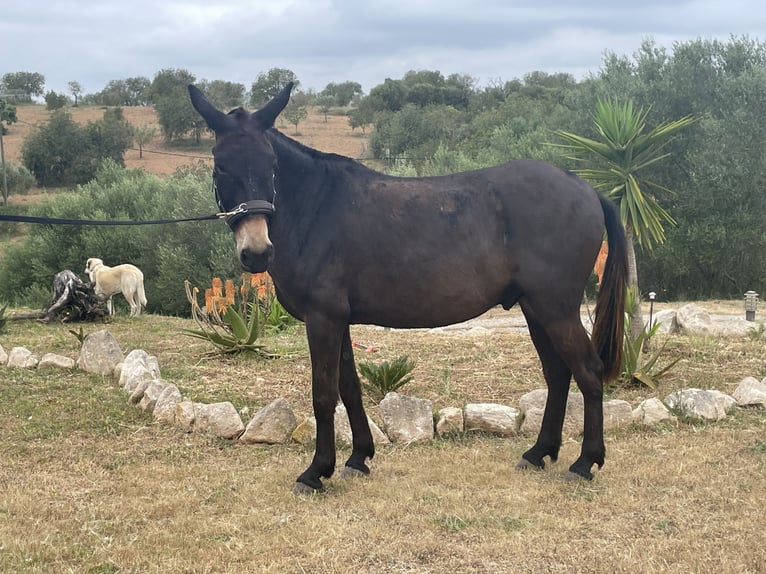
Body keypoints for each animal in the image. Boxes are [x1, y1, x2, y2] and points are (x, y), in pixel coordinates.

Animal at [188, 82, 628, 494]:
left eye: (272, 164)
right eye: (221, 166)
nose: (257, 252)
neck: (316, 207)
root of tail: (586, 189)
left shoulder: (323, 317)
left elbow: (324, 394)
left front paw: (316, 471)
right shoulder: (338, 319)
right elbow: (349, 387)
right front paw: (359, 458)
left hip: (557, 310)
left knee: (587, 372)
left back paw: (585, 462)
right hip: (537, 310)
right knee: (558, 374)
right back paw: (539, 453)